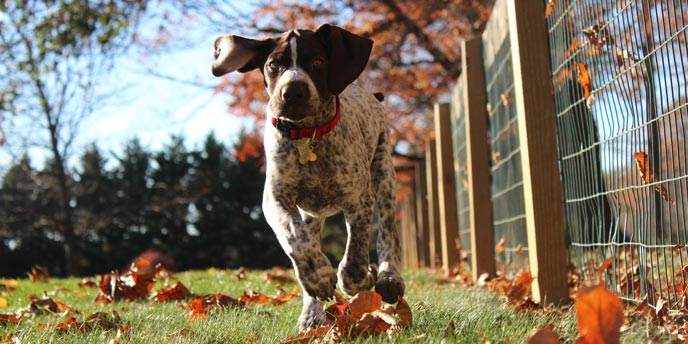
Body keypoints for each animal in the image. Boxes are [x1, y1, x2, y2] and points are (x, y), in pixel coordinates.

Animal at [210, 24, 404, 330]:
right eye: (273, 64)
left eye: (317, 62)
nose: (293, 91)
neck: (308, 136)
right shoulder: (276, 199)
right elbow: (294, 238)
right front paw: (318, 277)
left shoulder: (359, 199)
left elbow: (355, 258)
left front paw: (363, 277)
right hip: (312, 214)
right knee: (307, 240)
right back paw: (311, 315)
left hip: (384, 174)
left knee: (388, 234)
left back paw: (389, 278)